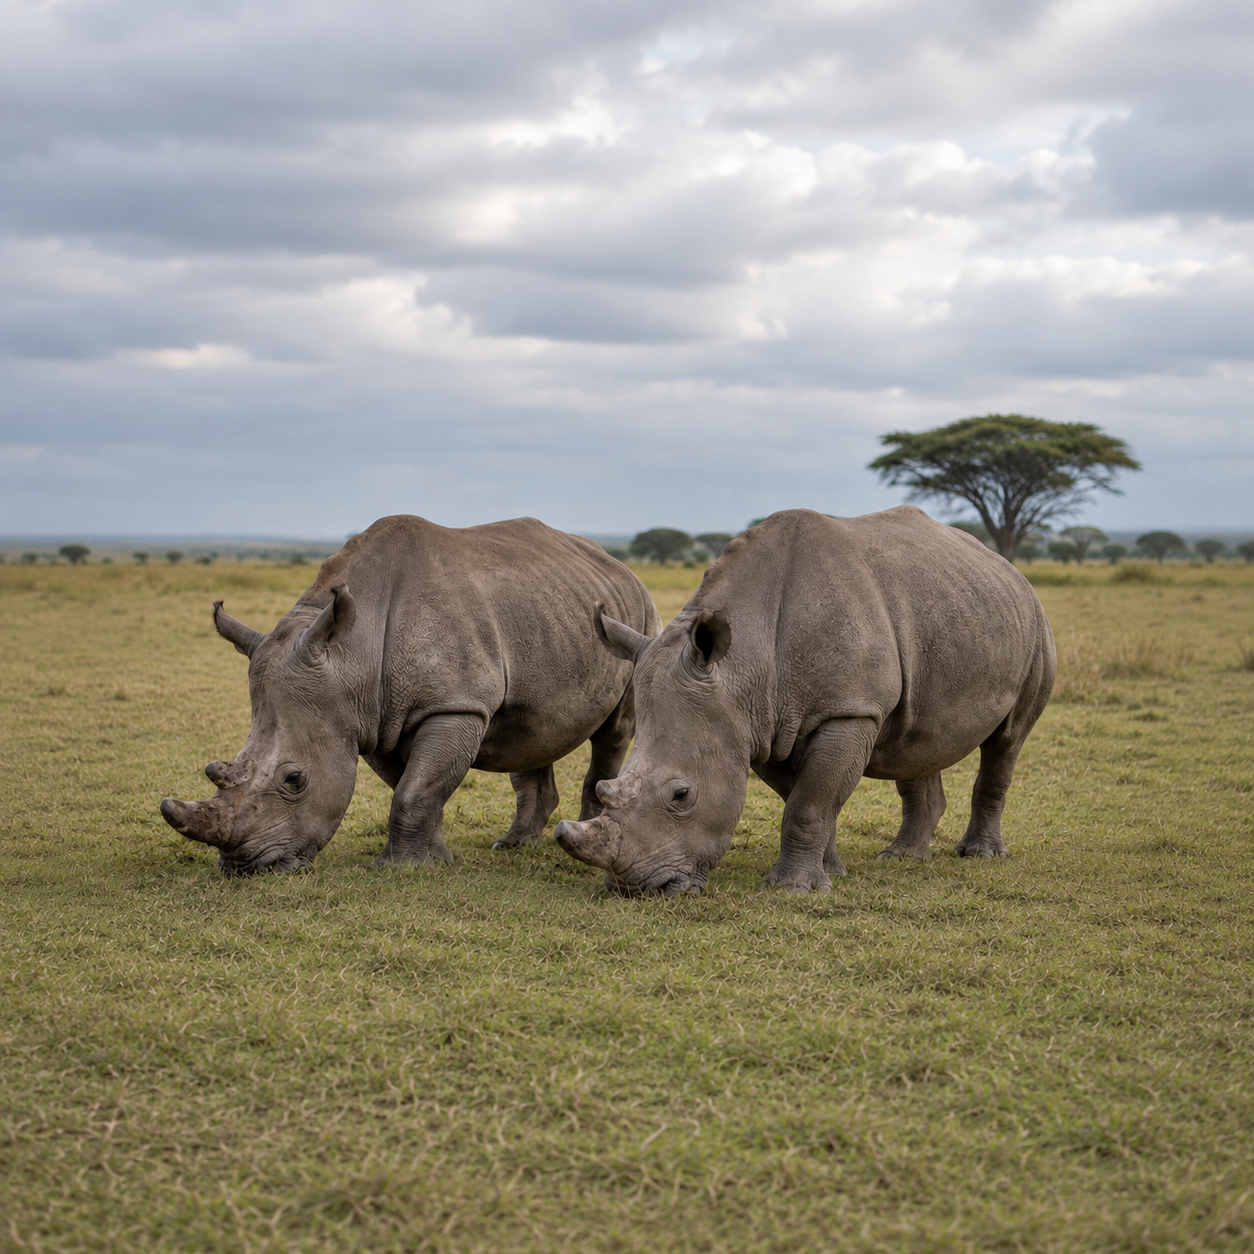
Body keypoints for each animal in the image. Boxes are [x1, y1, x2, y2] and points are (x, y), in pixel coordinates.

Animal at [160, 515, 661, 874]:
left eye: (294, 779)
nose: (242, 867)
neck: (350, 655)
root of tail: (617, 564)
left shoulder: (454, 706)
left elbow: (414, 789)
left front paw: (400, 869)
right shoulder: (374, 718)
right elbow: (413, 786)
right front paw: (434, 860)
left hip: (636, 617)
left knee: (615, 732)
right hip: (550, 613)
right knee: (535, 730)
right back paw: (511, 844)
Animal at [555, 507, 1056, 895]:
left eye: (682, 795)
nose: (636, 889)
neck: (742, 667)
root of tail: (1005, 565)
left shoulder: (848, 711)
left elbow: (810, 801)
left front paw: (793, 888)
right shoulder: (760, 725)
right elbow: (804, 795)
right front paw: (831, 872)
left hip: (1034, 621)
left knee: (1008, 739)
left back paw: (981, 855)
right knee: (914, 742)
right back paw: (901, 858)